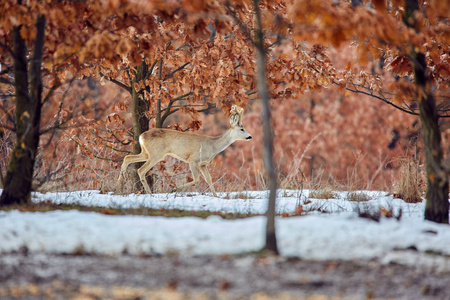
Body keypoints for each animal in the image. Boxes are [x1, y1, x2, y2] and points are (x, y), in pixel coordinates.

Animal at [118, 105, 251, 197]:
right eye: (242, 129)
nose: (250, 136)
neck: (212, 146)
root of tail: (141, 136)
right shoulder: (193, 160)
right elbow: (196, 179)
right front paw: (174, 189)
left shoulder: (203, 164)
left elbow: (209, 179)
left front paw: (216, 196)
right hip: (156, 154)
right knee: (141, 170)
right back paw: (149, 193)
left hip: (147, 153)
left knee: (128, 158)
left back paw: (119, 184)